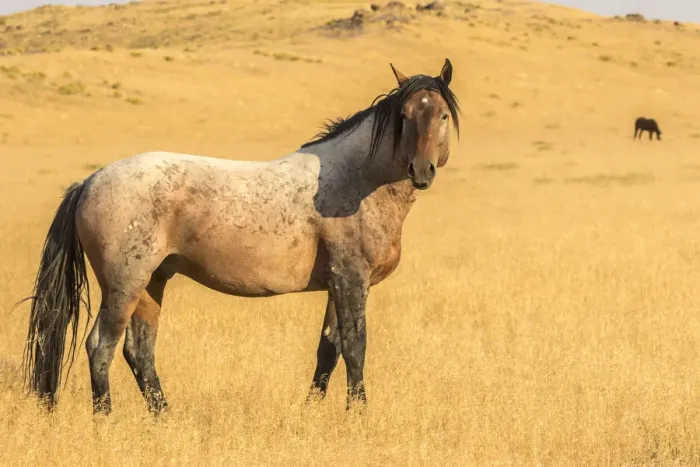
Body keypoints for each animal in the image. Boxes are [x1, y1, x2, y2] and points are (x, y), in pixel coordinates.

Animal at [22, 58, 461, 415]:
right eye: (405, 115)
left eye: (441, 115)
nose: (421, 170)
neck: (357, 183)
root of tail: (90, 181)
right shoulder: (351, 280)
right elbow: (355, 347)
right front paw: (358, 414)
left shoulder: (340, 284)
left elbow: (329, 349)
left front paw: (313, 412)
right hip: (124, 285)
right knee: (102, 346)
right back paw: (106, 419)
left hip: (151, 283)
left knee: (139, 350)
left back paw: (165, 417)